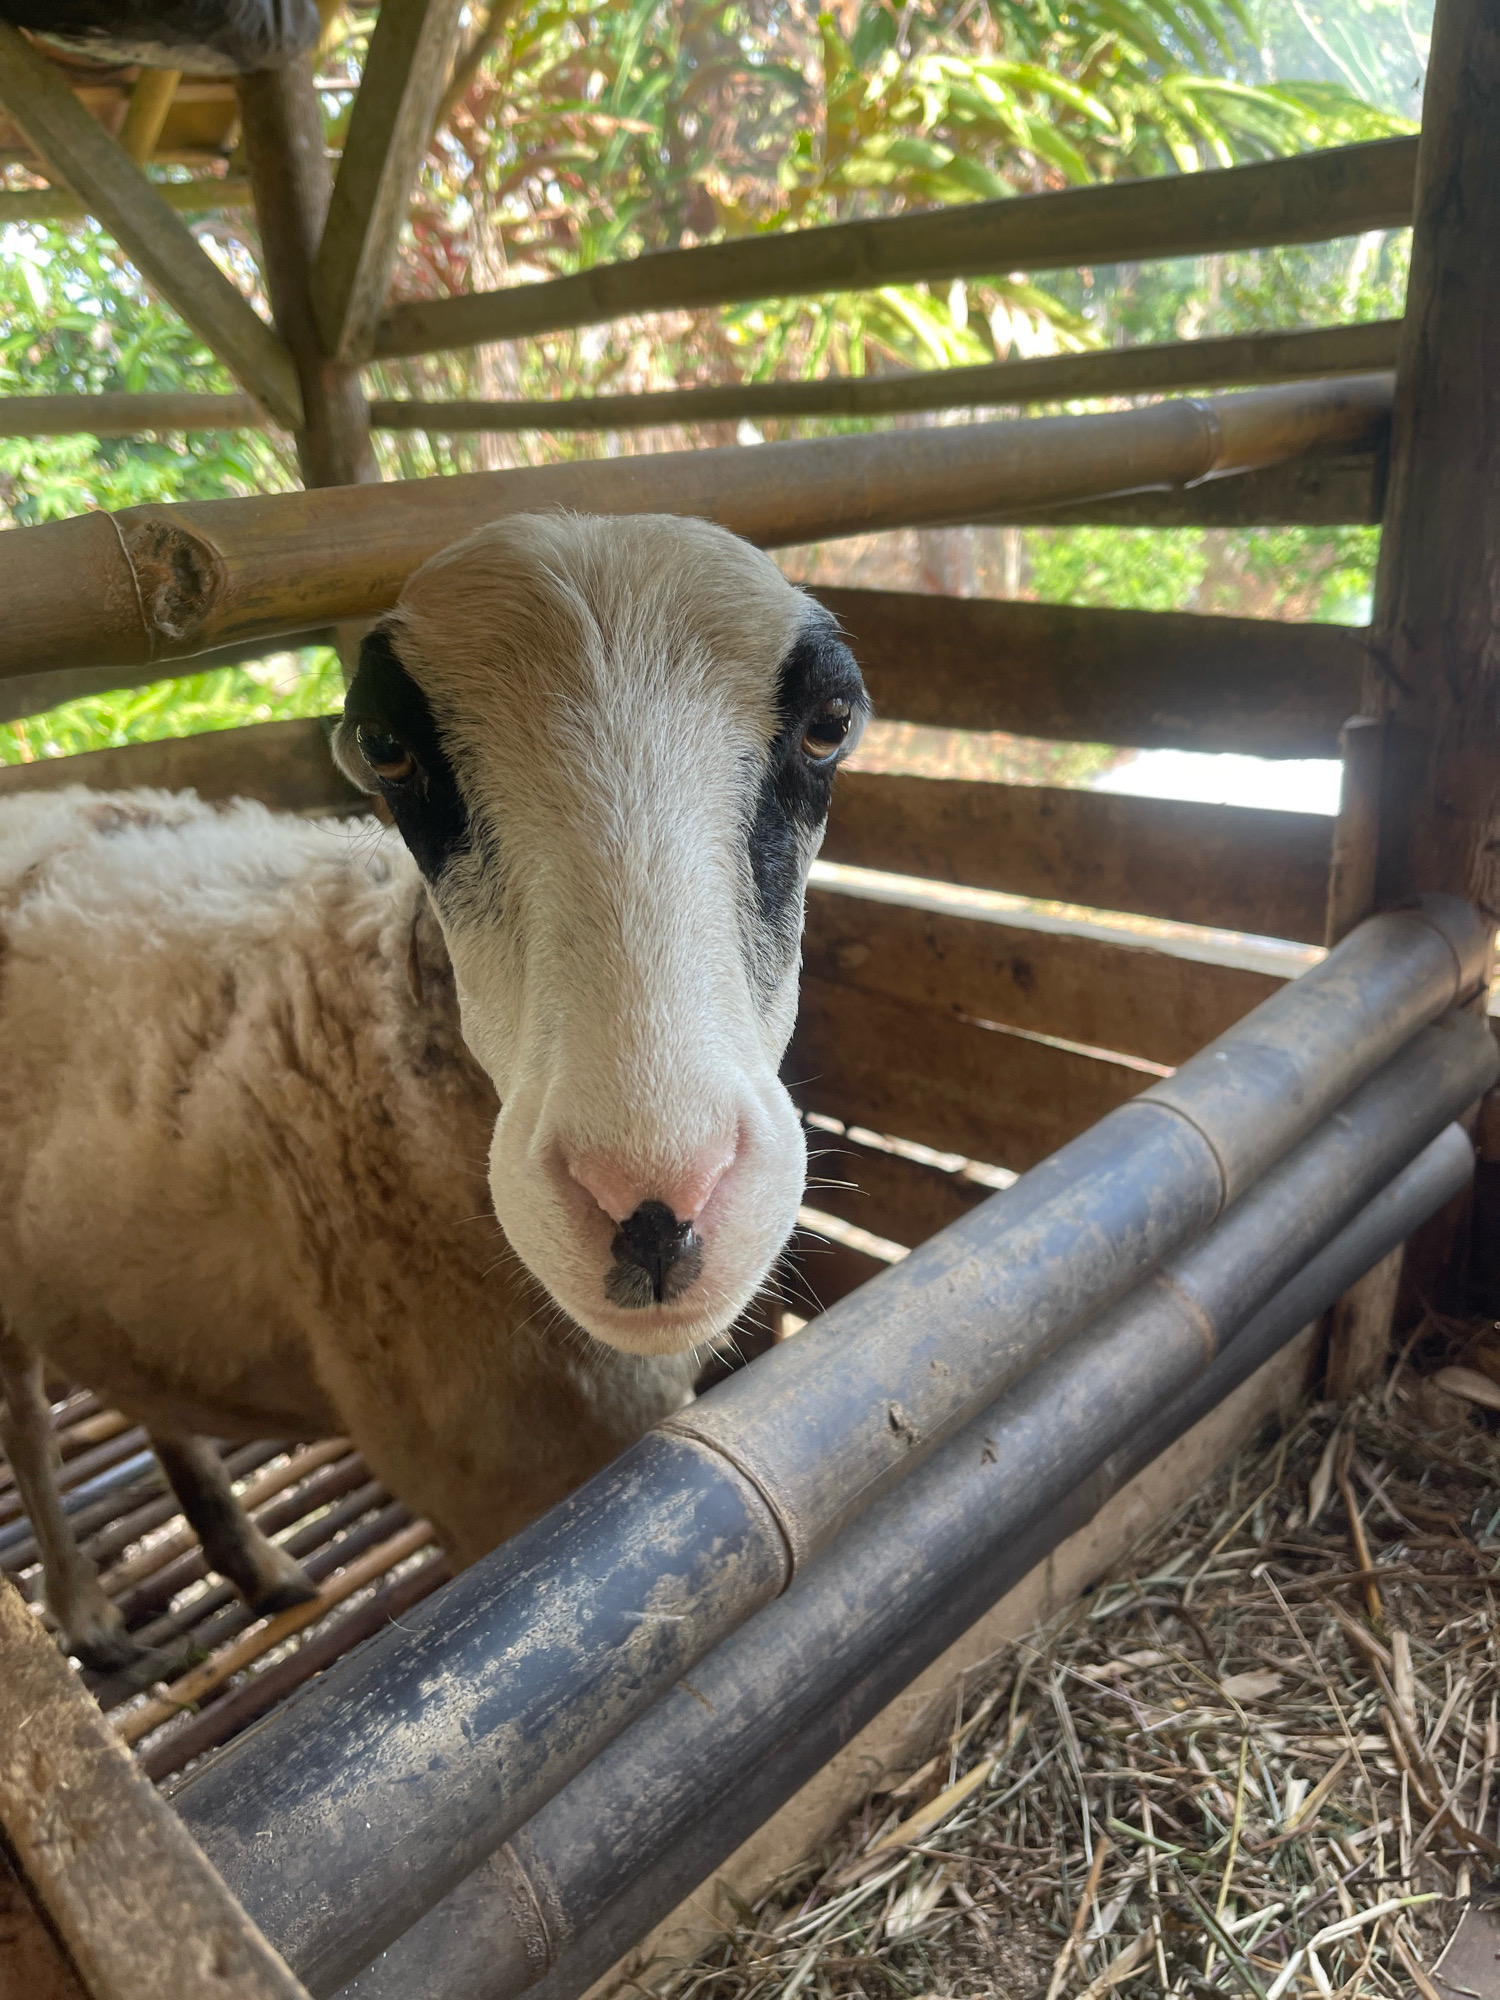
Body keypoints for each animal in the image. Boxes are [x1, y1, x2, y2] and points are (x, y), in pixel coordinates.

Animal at [0, 511, 868, 1669]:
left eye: (829, 725)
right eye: (385, 746)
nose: (653, 1206)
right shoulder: (488, 1483)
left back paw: (253, 1561)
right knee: (26, 1423)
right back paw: (86, 1612)